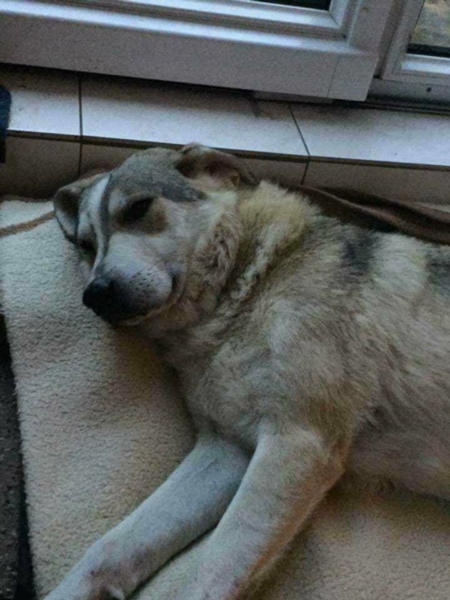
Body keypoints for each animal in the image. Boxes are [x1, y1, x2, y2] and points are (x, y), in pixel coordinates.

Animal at [46, 144, 450, 600]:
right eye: (86, 244)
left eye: (138, 208)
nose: (94, 294)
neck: (247, 287)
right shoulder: (228, 450)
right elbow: (112, 548)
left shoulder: (297, 441)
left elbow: (214, 570)